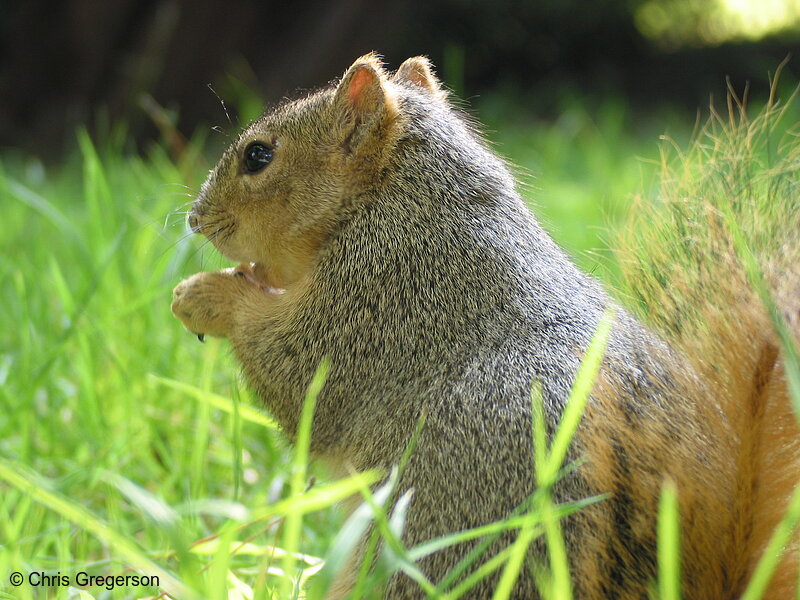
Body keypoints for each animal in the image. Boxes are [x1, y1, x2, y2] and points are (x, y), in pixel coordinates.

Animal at [170, 54, 800, 596]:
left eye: (258, 156)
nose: (195, 219)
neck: (405, 201)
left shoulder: (379, 304)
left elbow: (298, 378)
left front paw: (204, 295)